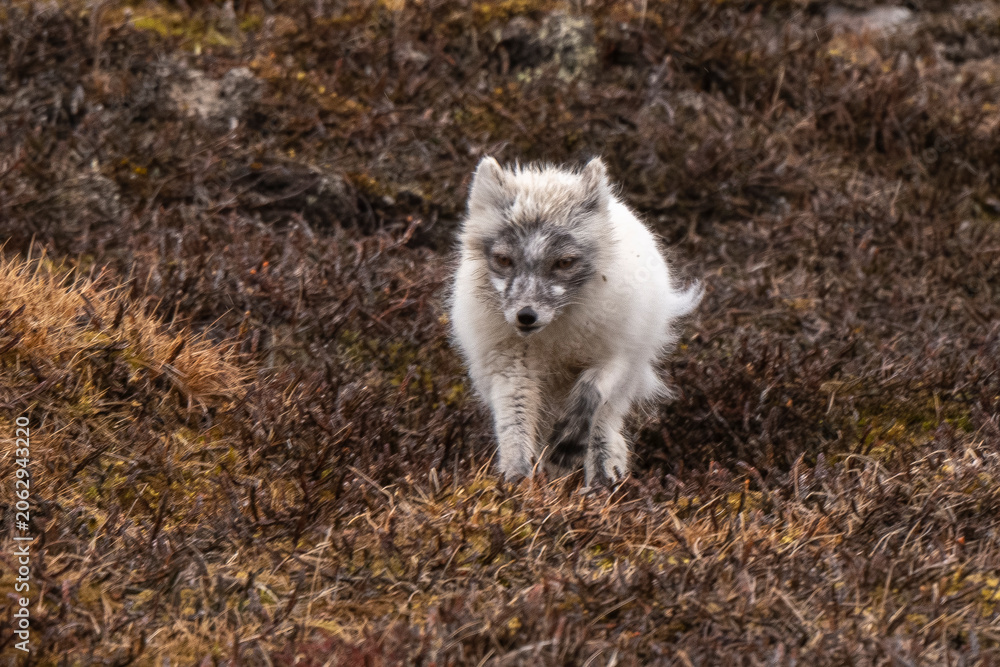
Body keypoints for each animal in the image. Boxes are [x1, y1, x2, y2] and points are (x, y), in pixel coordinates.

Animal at [449, 156, 701, 486]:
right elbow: (514, 428)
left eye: (564, 263)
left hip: (627, 377)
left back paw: (601, 485)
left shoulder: (615, 358)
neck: (557, 338)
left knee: (602, 430)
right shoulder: (510, 368)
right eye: (504, 260)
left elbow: (589, 394)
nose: (526, 316)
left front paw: (567, 445)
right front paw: (517, 482)